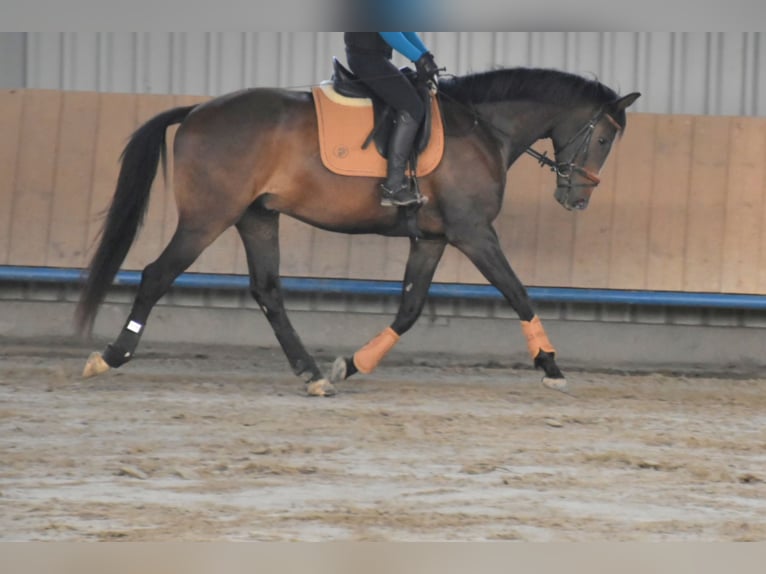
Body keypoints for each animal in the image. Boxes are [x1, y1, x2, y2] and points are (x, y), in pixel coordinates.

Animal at [76, 64, 640, 396]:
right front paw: (551, 366)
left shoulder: (432, 239)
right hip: (209, 216)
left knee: (267, 290)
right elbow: (518, 293)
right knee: (156, 274)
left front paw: (351, 364)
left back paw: (311, 374)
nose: (578, 198)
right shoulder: (474, 233)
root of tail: (195, 110)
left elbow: (410, 309)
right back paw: (109, 358)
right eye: (604, 138)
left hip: (257, 217)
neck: (481, 127)